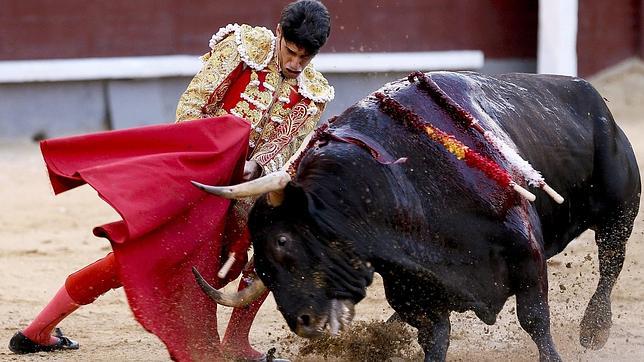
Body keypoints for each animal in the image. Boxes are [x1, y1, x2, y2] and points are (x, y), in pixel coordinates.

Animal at [191, 71, 640, 362]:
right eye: (260, 261)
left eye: (282, 240)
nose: (302, 322)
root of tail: (591, 95)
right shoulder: (411, 286)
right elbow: (435, 337)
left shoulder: (526, 254)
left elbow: (535, 320)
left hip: (621, 208)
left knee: (611, 260)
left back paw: (594, 329)